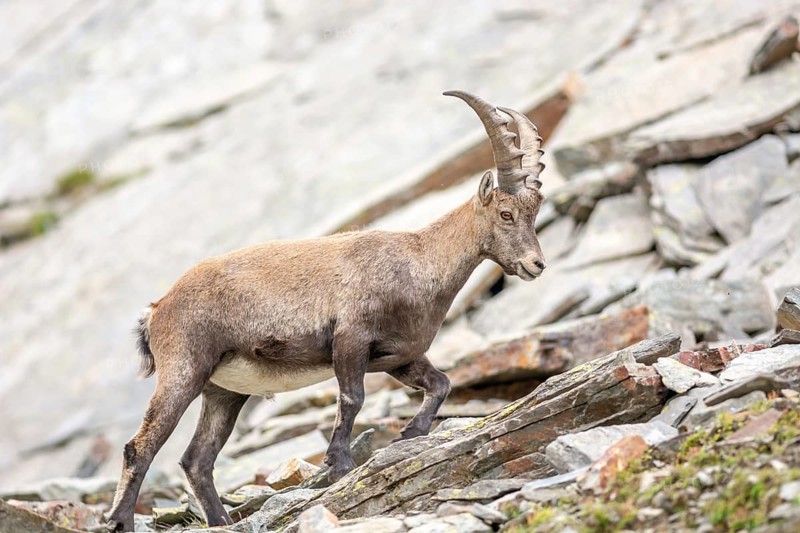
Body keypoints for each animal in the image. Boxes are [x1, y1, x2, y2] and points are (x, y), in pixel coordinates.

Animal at [106, 91, 547, 532]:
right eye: (506, 214)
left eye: (534, 213)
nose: (537, 265)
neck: (418, 263)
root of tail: (157, 309)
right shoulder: (351, 339)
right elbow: (353, 398)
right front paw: (339, 465)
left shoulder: (399, 356)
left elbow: (441, 383)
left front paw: (409, 433)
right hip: (184, 370)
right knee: (139, 447)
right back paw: (121, 521)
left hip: (224, 390)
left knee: (197, 459)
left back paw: (221, 521)